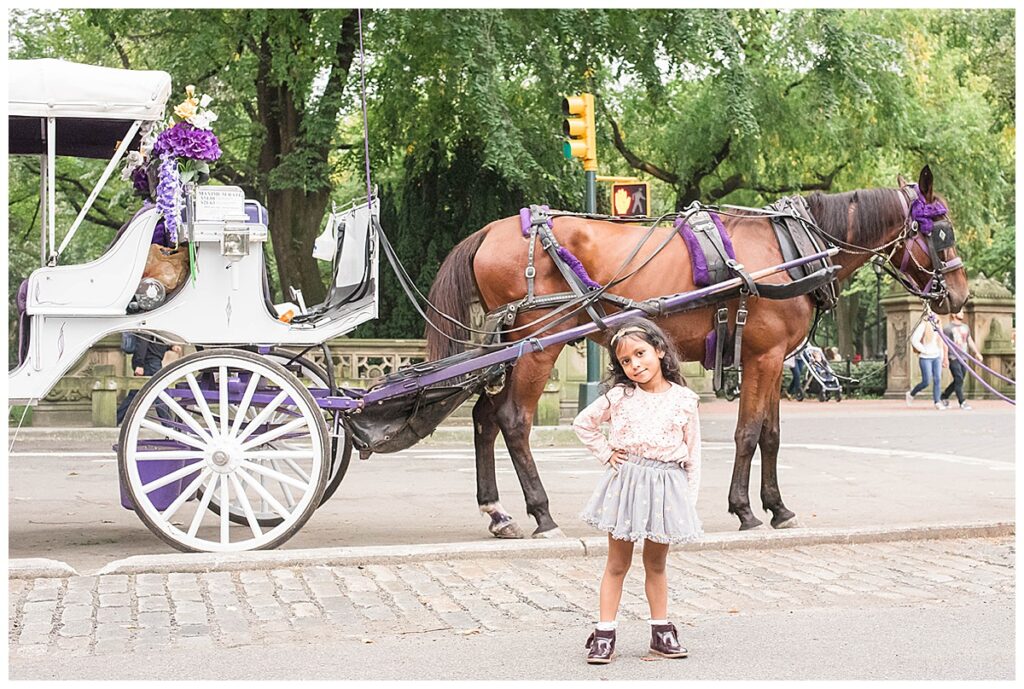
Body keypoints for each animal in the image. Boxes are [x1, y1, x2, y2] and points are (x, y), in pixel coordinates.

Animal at [423, 166, 966, 536]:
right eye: (942, 231)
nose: (959, 296)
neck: (792, 248)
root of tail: (492, 229)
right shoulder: (763, 358)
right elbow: (748, 434)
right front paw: (745, 509)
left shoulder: (770, 361)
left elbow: (771, 436)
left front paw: (778, 507)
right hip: (537, 345)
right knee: (513, 420)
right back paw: (541, 512)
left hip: (511, 348)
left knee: (484, 418)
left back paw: (497, 512)